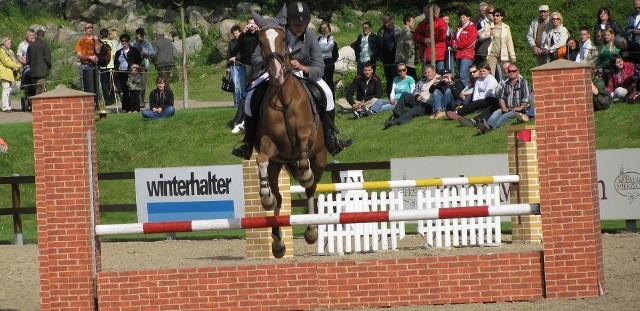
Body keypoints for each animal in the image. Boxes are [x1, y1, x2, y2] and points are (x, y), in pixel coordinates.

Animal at [254, 27, 324, 258]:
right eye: (260, 42)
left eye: (283, 39)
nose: (275, 74)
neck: (284, 98)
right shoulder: (269, 143)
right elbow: (261, 159)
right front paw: (265, 196)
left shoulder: (306, 132)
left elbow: (303, 153)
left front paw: (305, 174)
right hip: (278, 165)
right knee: (279, 197)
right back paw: (277, 243)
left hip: (320, 158)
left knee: (311, 188)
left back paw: (311, 231)